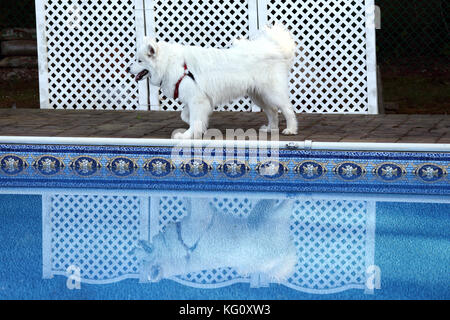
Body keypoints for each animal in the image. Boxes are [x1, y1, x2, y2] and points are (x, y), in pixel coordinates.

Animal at [126, 24, 298, 139]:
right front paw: (199, 128)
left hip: (272, 92)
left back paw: (291, 129)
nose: (127, 69)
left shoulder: (197, 99)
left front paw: (187, 135)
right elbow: (186, 116)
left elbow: (194, 118)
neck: (170, 64)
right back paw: (271, 129)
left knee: (287, 109)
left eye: (139, 61)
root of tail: (273, 48)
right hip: (258, 94)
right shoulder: (196, 99)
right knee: (272, 111)